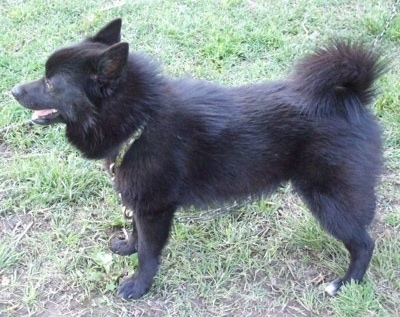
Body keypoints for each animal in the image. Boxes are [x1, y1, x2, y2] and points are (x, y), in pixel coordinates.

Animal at [11, 18, 384, 298]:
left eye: (51, 83)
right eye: (45, 76)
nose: (13, 90)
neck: (142, 122)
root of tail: (350, 96)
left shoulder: (155, 208)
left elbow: (149, 252)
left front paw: (138, 286)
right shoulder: (139, 199)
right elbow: (135, 233)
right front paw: (128, 246)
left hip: (330, 200)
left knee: (364, 243)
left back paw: (346, 284)